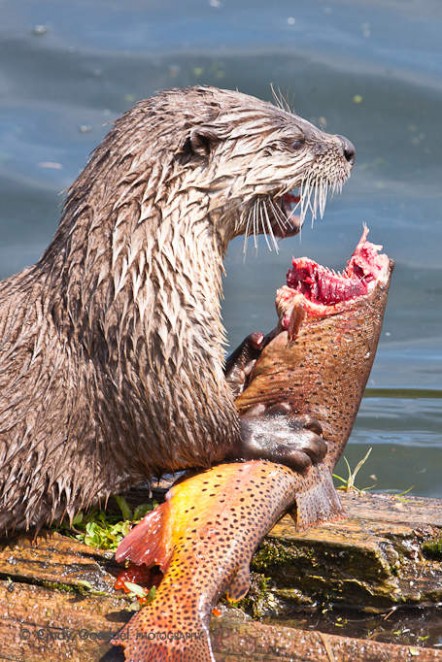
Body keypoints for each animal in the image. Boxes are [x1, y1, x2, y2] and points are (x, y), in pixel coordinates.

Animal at [0, 87, 354, 536]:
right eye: (293, 141)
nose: (348, 148)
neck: (136, 278)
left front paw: (244, 358)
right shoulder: (145, 356)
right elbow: (198, 432)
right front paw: (281, 433)